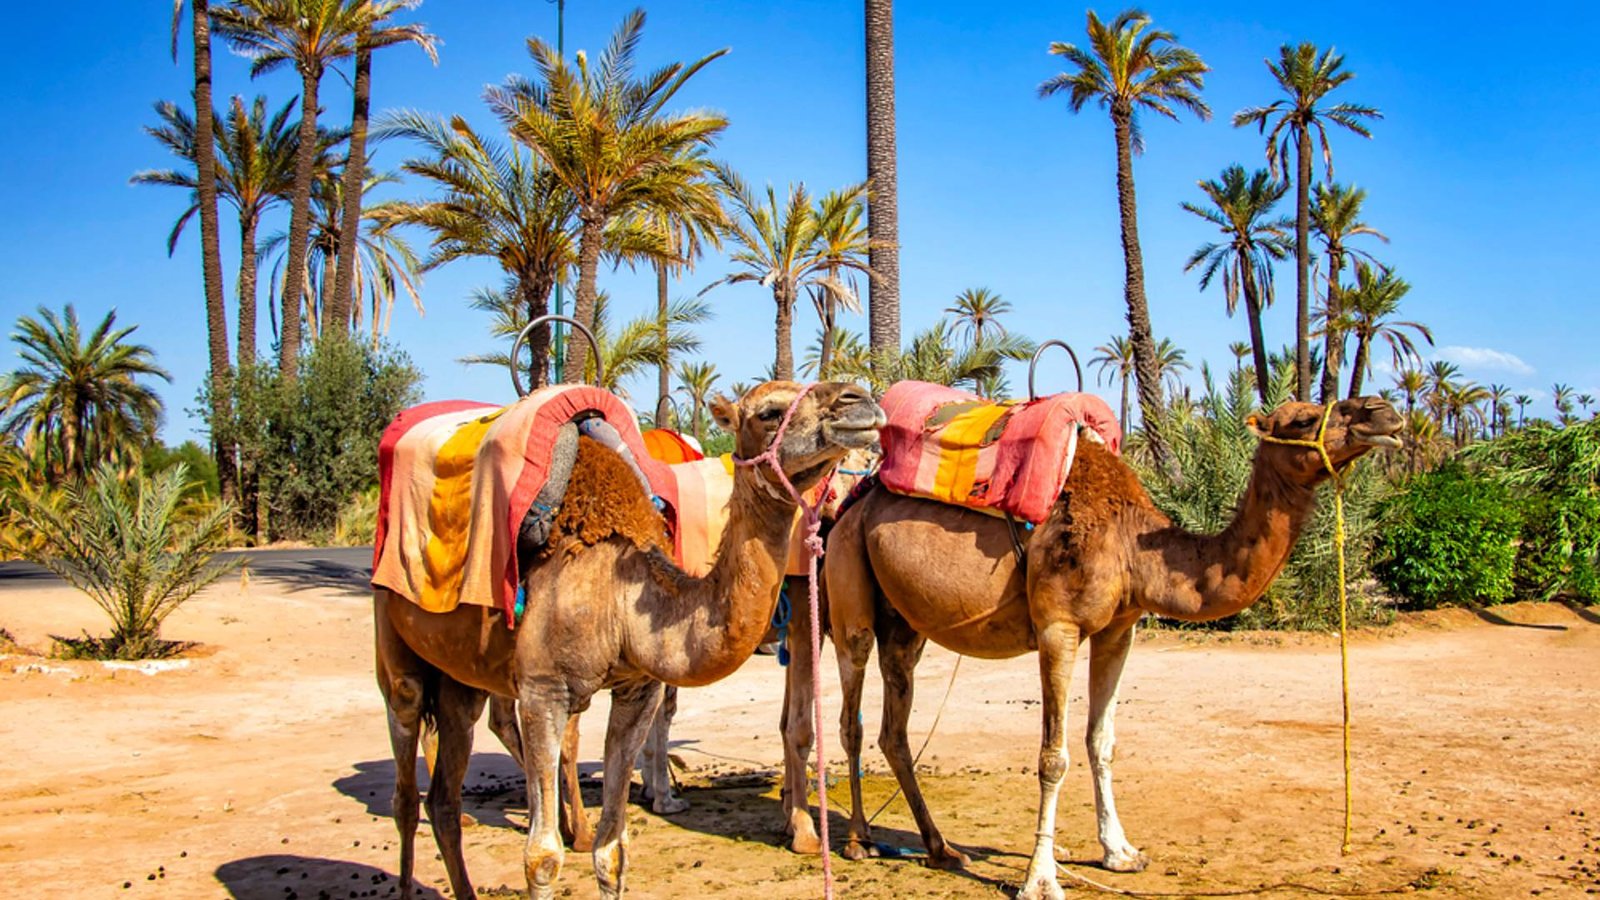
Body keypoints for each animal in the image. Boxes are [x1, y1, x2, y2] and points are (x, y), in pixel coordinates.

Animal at [374, 380, 885, 900]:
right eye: (769, 412)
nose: (858, 399)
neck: (618, 595)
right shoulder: (542, 691)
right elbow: (541, 858)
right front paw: (798, 830)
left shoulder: (637, 689)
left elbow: (613, 850)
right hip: (395, 643)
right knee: (406, 784)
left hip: (460, 679)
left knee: (444, 795)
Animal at [817, 396, 1403, 900]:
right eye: (1304, 419)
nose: (1385, 413)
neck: (1133, 545)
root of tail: (851, 502)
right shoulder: (1058, 627)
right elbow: (1053, 756)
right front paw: (1041, 880)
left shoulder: (1120, 630)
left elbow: (1102, 741)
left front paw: (1120, 852)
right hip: (850, 589)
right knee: (852, 714)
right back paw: (861, 841)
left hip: (904, 623)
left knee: (895, 729)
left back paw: (941, 849)